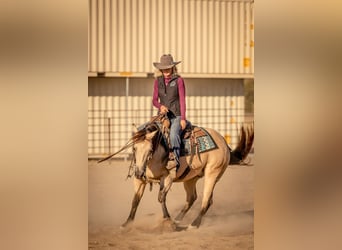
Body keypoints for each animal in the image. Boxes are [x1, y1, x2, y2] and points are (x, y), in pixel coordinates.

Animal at [99, 116, 254, 229]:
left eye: (150, 150)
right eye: (134, 148)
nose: (138, 172)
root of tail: (224, 143)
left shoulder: (168, 177)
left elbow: (161, 197)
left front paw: (168, 220)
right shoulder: (139, 180)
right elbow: (135, 200)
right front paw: (127, 223)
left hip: (213, 174)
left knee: (206, 200)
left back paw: (194, 224)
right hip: (191, 178)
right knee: (192, 198)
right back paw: (179, 220)